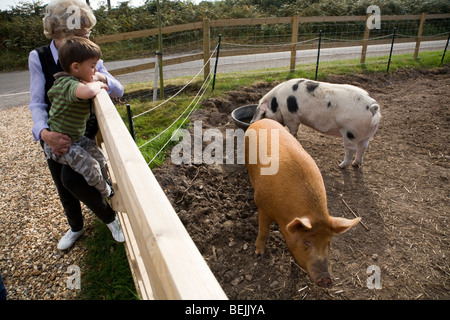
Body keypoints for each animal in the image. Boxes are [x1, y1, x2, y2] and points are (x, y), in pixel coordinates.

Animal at [251, 78, 382, 168]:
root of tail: (373, 107)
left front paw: (293, 136)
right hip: (368, 133)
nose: (253, 122)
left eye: (263, 114)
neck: (276, 102)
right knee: (363, 147)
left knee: (351, 149)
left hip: (350, 132)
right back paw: (356, 164)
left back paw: (341, 166)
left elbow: (293, 130)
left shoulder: (291, 117)